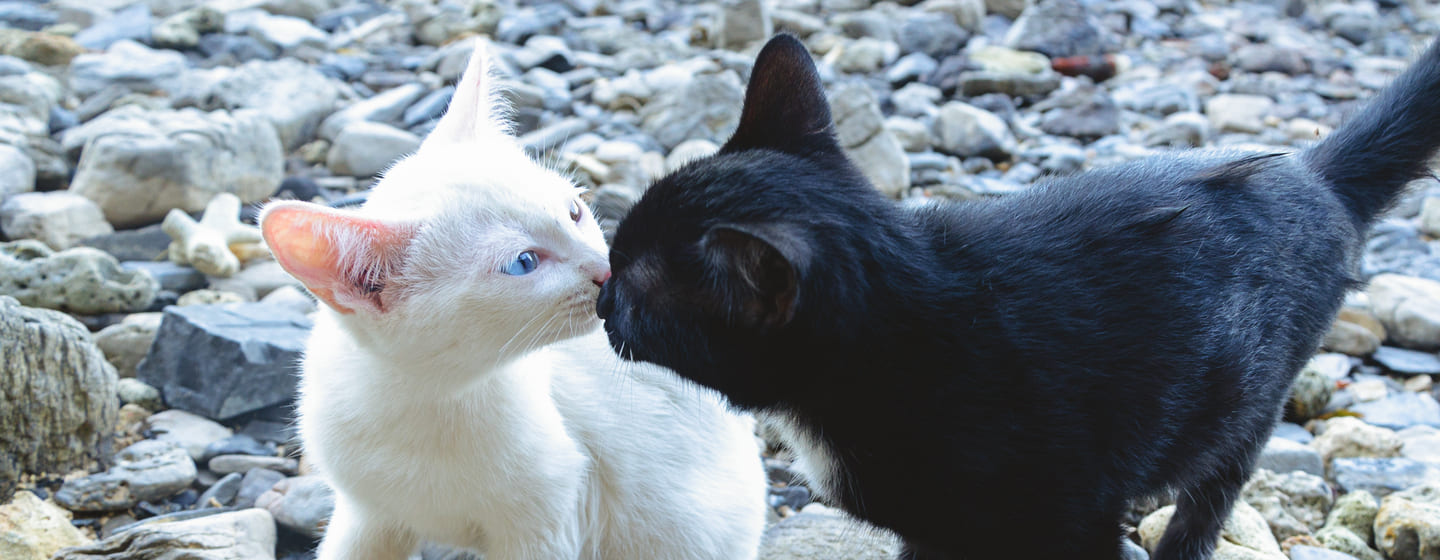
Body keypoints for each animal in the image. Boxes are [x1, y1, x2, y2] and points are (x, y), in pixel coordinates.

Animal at [260, 42, 777, 558]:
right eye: (524, 262)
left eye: (573, 212)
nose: (609, 272)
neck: (428, 397)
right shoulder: (367, 512)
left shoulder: (549, 518)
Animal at [596, 34, 1440, 558]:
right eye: (616, 249)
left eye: (636, 281)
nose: (601, 292)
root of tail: (1311, 175)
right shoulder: (930, 531)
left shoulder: (1075, 518)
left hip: (1243, 407)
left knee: (1210, 497)